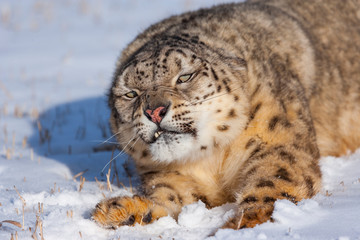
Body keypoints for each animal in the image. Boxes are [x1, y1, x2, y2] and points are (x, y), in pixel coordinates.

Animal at [91, 0, 360, 229]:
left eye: (185, 77)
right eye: (131, 94)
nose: (154, 111)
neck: (211, 159)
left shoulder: (279, 143)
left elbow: (274, 181)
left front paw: (243, 222)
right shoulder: (169, 174)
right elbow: (169, 194)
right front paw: (122, 210)